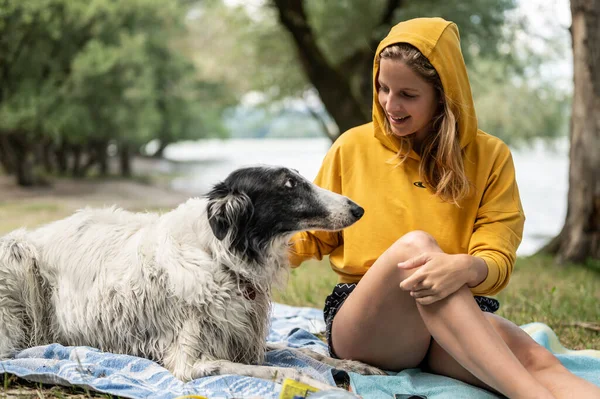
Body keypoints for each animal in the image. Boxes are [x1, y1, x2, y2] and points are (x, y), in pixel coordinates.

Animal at [0, 167, 382, 392]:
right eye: (290, 184)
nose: (359, 209)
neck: (221, 256)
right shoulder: (191, 362)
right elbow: (287, 372)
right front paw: (328, 388)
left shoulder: (244, 339)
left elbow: (300, 350)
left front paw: (355, 365)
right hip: (18, 261)